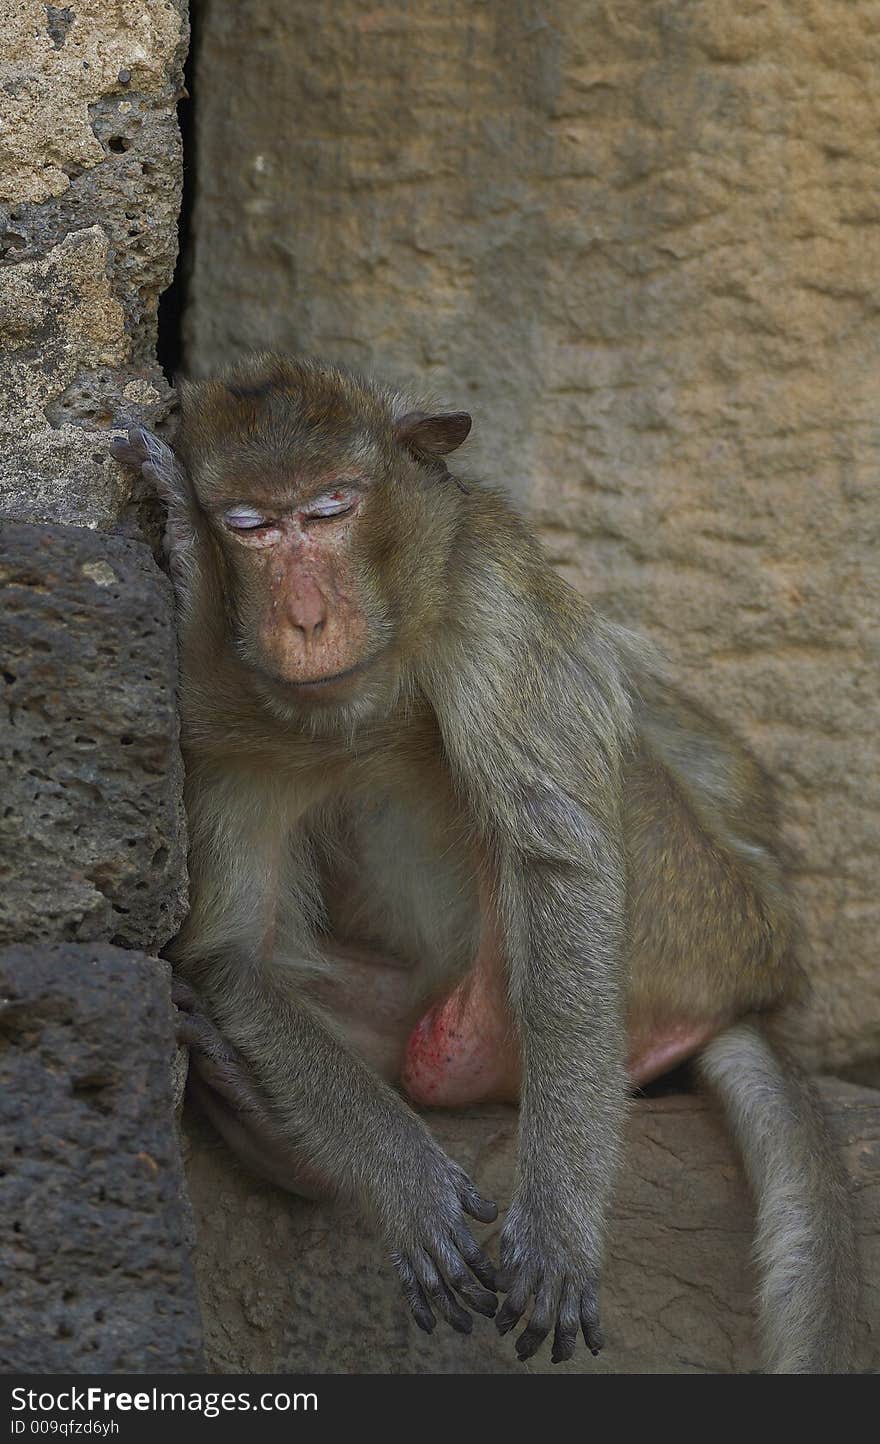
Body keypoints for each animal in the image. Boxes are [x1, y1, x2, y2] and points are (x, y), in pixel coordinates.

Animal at [113, 355, 855, 1368]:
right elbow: (234, 953)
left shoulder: (492, 603)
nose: (303, 618)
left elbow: (558, 863)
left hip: (688, 913)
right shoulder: (236, 745)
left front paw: (558, 1223)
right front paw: (405, 1182)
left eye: (333, 507)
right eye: (252, 525)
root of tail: (758, 984)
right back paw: (270, 1121)